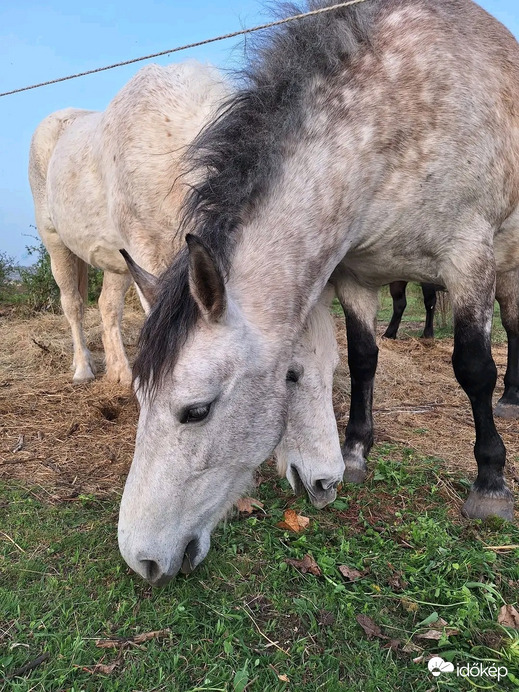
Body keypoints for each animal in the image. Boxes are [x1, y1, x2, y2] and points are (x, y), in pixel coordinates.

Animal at [28, 59, 346, 510]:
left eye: (334, 367)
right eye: (290, 374)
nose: (327, 483)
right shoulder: (146, 252)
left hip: (115, 263)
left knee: (106, 306)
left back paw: (120, 374)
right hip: (57, 245)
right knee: (73, 304)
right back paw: (84, 370)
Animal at [119, 0, 519, 584]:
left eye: (196, 411)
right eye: (138, 397)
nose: (140, 558)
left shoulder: (469, 258)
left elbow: (473, 367)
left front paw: (490, 484)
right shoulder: (355, 276)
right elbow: (363, 358)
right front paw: (354, 453)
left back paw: (511, 401)